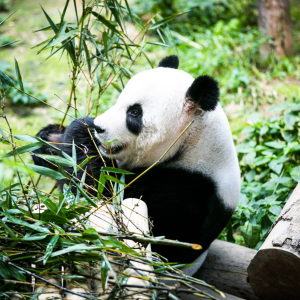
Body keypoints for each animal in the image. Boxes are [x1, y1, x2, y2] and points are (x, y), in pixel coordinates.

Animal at [32, 55, 239, 276]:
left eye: (134, 113)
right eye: (118, 101)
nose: (98, 127)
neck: (193, 142)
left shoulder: (188, 194)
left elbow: (101, 200)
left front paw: (80, 132)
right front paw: (48, 138)